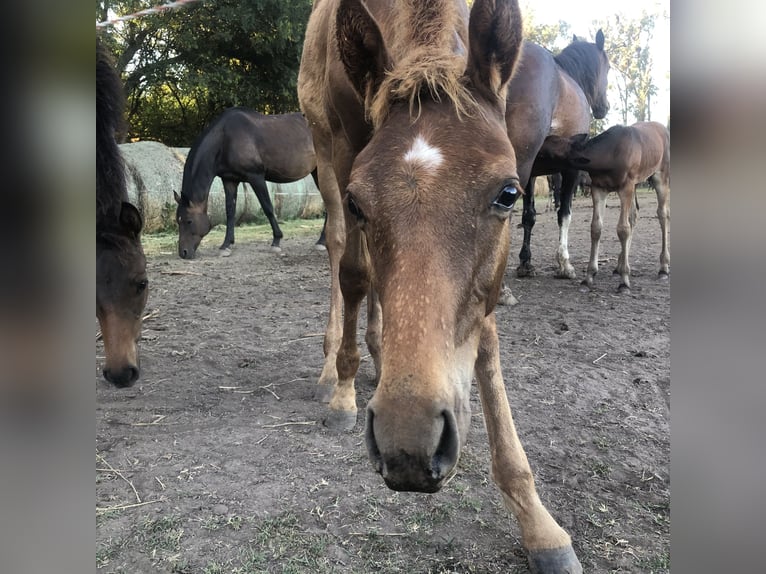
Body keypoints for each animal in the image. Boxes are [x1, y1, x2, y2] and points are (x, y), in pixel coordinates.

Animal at [176, 107, 326, 258]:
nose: (183, 252)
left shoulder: (256, 177)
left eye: (189, 221)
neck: (224, 138)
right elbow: (230, 212)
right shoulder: (230, 180)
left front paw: (276, 241)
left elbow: (268, 208)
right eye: (178, 220)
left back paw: (322, 242)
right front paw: (226, 245)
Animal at [298, 2, 584, 572]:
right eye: (361, 202)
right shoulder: (345, 151)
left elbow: (486, 340)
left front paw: (539, 524)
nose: (408, 447)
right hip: (322, 147)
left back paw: (379, 353)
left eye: (509, 193)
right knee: (340, 251)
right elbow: (355, 273)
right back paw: (335, 371)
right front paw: (343, 391)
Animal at [504, 30, 612, 292]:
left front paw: (526, 263)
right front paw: (564, 264)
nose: (604, 107)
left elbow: (529, 216)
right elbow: (564, 212)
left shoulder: (533, 173)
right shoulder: (570, 169)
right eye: (608, 68)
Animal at [540, 121, 672, 292]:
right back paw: (620, 264)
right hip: (636, 183)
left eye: (545, 154)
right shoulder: (598, 188)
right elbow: (596, 228)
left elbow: (623, 229)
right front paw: (589, 277)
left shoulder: (626, 187)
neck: (610, 155)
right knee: (634, 216)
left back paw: (663, 268)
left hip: (660, 177)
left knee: (662, 214)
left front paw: (624, 281)